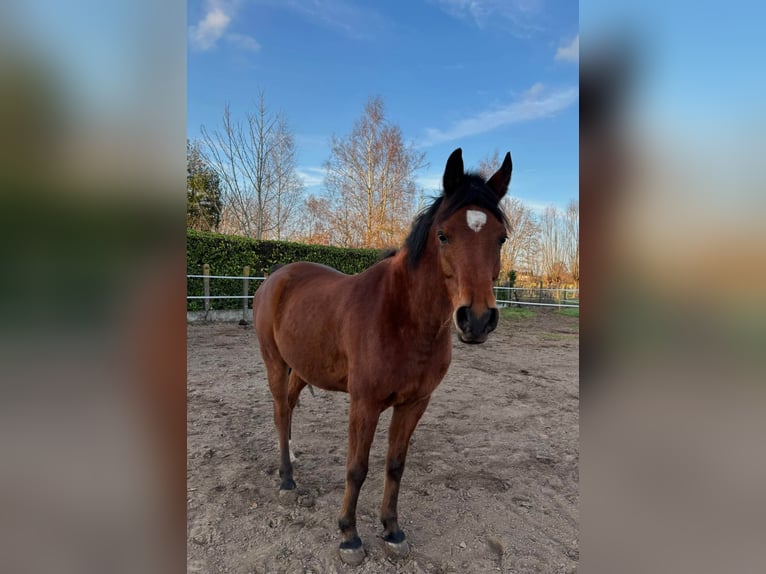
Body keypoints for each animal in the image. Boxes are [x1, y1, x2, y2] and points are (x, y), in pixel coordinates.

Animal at [252, 147, 511, 565]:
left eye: (500, 238)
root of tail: (276, 276)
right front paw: (349, 536)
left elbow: (395, 465)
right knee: (279, 411)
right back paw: (287, 480)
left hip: (303, 369)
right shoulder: (365, 404)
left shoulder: (414, 404)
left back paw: (289, 463)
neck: (401, 316)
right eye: (443, 235)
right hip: (275, 363)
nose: (476, 319)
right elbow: (357, 468)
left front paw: (392, 530)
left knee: (288, 409)